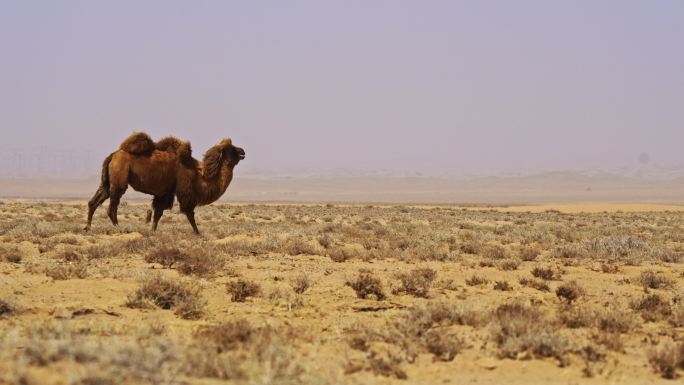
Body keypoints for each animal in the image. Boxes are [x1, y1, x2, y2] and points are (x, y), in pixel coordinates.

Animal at [84, 132, 246, 234]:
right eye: (231, 149)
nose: (243, 151)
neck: (199, 175)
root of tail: (113, 155)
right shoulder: (184, 190)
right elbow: (189, 213)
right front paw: (198, 233)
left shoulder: (165, 192)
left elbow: (158, 212)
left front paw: (153, 231)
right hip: (119, 180)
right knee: (112, 206)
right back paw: (118, 227)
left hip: (107, 180)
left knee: (95, 200)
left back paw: (87, 227)